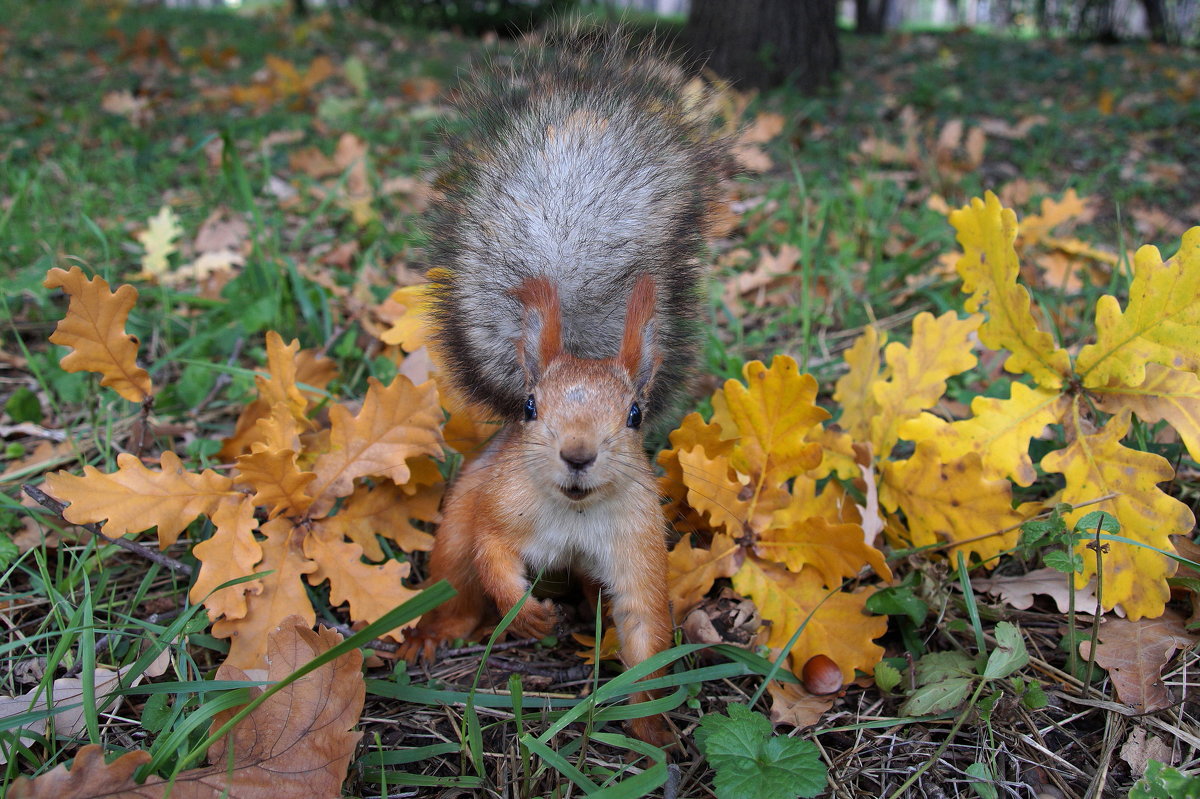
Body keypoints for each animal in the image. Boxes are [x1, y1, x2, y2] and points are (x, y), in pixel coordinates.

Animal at [398, 26, 724, 748]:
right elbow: (493, 557)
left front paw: (653, 730)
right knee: (457, 584)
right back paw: (434, 635)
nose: (577, 454)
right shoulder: (501, 509)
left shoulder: (637, 546)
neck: (574, 514)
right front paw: (526, 614)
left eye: (634, 414)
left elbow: (645, 631)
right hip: (454, 532)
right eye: (529, 405)